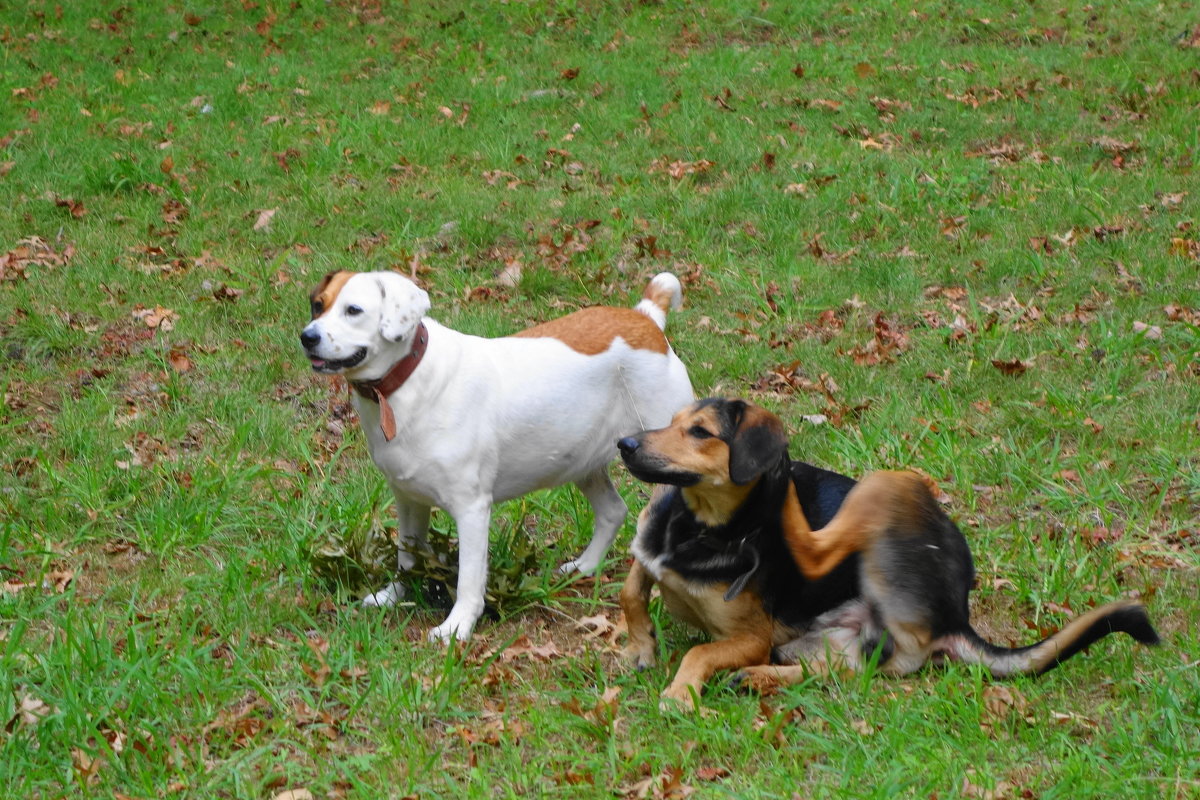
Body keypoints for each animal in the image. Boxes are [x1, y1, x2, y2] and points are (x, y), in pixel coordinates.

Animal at [300, 272, 696, 642]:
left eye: (353, 310)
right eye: (317, 305)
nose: (308, 337)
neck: (406, 383)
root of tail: (645, 317)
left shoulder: (472, 510)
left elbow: (469, 579)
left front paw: (457, 627)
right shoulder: (409, 499)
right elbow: (407, 558)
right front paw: (395, 596)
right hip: (582, 463)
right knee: (613, 511)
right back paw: (585, 567)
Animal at [614, 398, 1156, 705]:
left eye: (700, 432)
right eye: (671, 422)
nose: (624, 444)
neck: (694, 527)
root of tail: (953, 617)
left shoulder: (752, 636)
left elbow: (701, 650)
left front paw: (679, 693)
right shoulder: (649, 549)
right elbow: (631, 588)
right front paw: (641, 645)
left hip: (884, 486)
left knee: (816, 548)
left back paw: (784, 484)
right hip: (824, 643)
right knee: (833, 672)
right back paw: (756, 679)